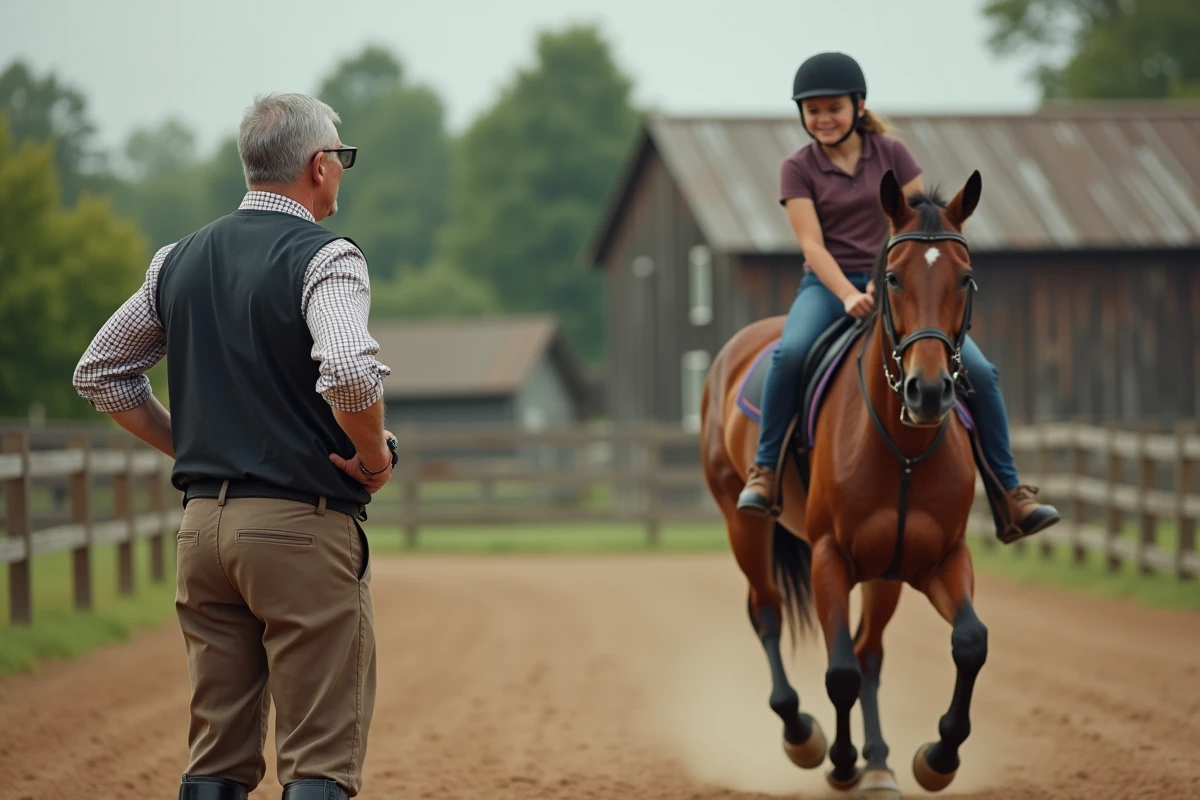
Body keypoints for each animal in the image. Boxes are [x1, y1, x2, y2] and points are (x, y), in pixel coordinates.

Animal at [700, 169, 993, 799]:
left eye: (965, 278)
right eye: (892, 278)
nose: (928, 391)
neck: (903, 450)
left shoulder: (941, 558)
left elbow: (970, 642)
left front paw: (938, 758)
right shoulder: (829, 557)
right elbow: (839, 672)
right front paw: (838, 762)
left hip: (885, 572)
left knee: (870, 651)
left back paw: (879, 762)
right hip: (743, 525)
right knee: (767, 614)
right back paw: (801, 735)